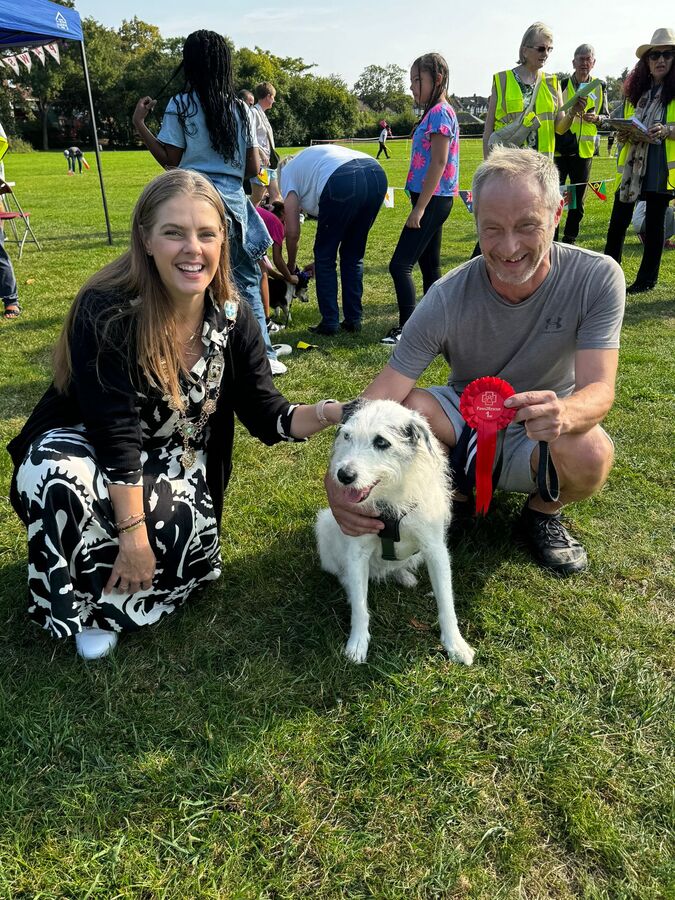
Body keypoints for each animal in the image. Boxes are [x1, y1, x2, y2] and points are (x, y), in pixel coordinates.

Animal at [316, 398, 476, 664]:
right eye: (347, 436)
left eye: (381, 442)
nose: (344, 475)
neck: (389, 498)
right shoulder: (357, 551)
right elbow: (360, 607)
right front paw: (357, 644)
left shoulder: (435, 550)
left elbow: (446, 601)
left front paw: (455, 644)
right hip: (325, 524)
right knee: (343, 575)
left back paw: (404, 576)